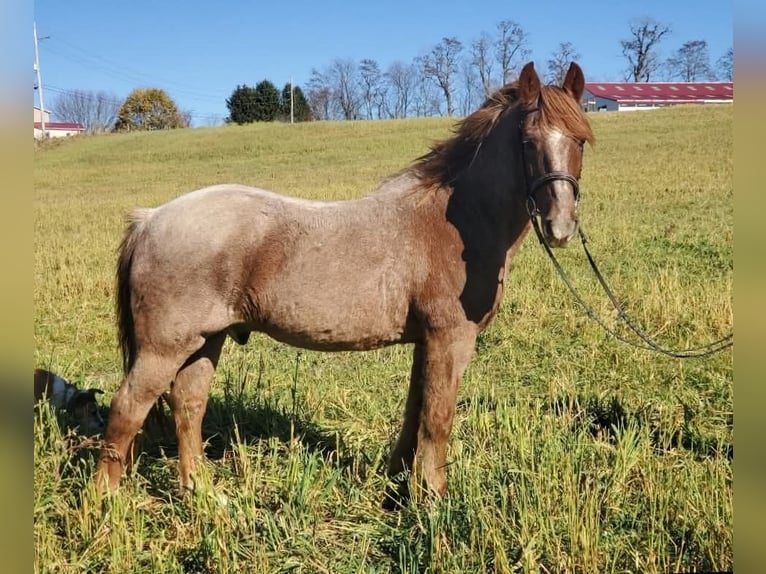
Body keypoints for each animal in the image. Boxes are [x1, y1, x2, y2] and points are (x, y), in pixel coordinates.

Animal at [96, 60, 596, 506]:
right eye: (527, 142)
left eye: (580, 141)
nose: (561, 226)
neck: (451, 224)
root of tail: (151, 218)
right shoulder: (450, 339)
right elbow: (437, 418)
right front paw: (432, 502)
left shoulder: (426, 342)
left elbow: (415, 413)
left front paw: (399, 488)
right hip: (164, 348)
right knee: (127, 409)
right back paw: (106, 503)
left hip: (206, 340)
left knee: (188, 404)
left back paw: (203, 494)